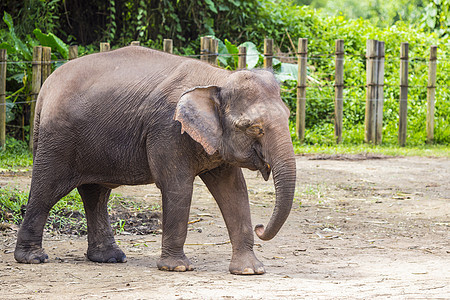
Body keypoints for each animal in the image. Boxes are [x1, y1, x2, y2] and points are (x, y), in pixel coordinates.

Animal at [14, 46, 296, 274]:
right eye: (253, 128)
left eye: (288, 116)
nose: (261, 227)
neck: (218, 79)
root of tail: (45, 87)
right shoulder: (167, 131)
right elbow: (177, 187)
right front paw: (177, 268)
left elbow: (234, 191)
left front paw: (250, 271)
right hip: (57, 138)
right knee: (47, 188)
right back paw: (32, 258)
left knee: (96, 194)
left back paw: (109, 258)